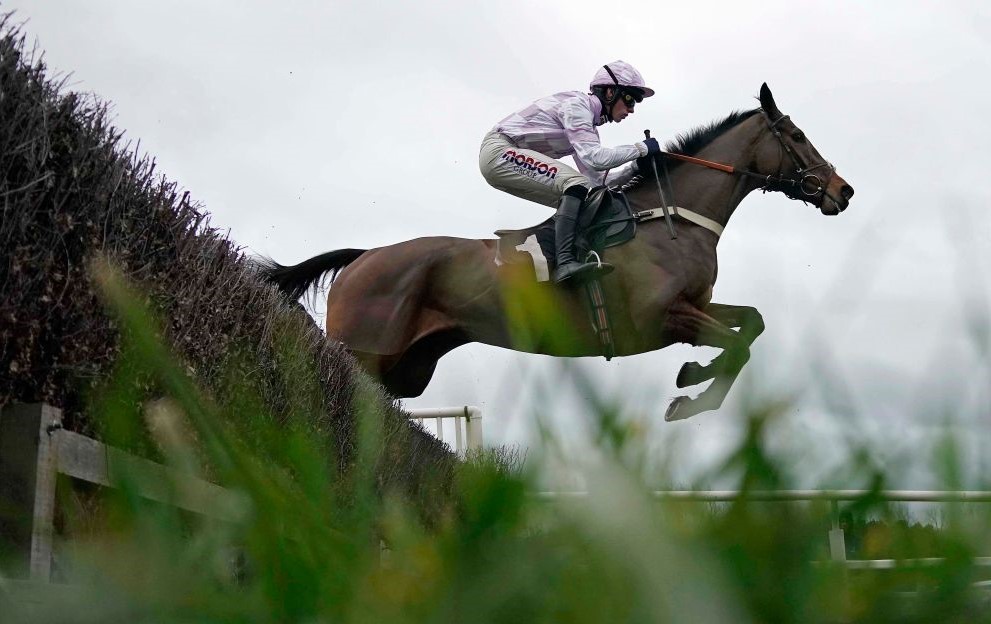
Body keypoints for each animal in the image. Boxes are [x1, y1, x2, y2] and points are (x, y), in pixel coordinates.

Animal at [259, 84, 854, 421]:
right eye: (797, 136)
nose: (842, 191)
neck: (671, 218)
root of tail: (365, 256)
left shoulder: (697, 305)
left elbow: (751, 326)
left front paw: (690, 381)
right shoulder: (665, 317)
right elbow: (740, 347)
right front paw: (690, 393)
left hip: (406, 369)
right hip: (363, 350)